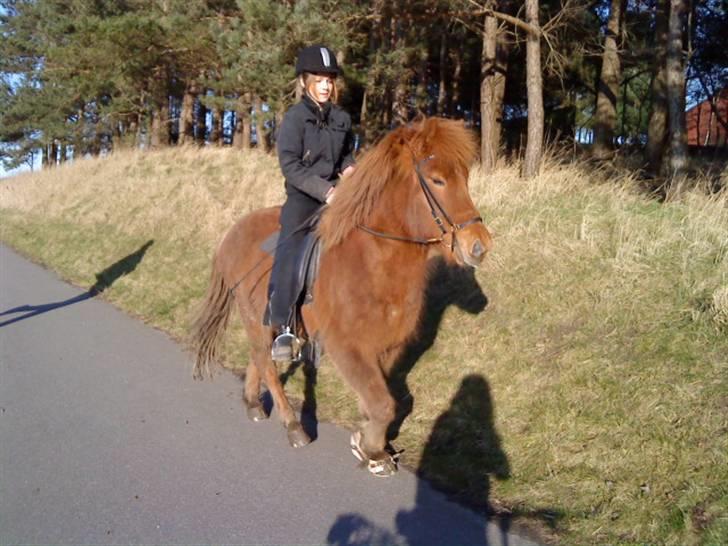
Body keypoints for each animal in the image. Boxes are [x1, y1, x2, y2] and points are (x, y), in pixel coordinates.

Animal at [191, 117, 492, 474]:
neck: (373, 260)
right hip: (254, 317)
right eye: (438, 180)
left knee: (259, 357)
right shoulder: (345, 345)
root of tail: (232, 234)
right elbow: (383, 403)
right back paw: (293, 426)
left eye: (465, 177)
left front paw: (367, 440)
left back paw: (252, 403)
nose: (479, 245)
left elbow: (380, 397)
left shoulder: (386, 347)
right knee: (266, 363)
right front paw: (373, 450)